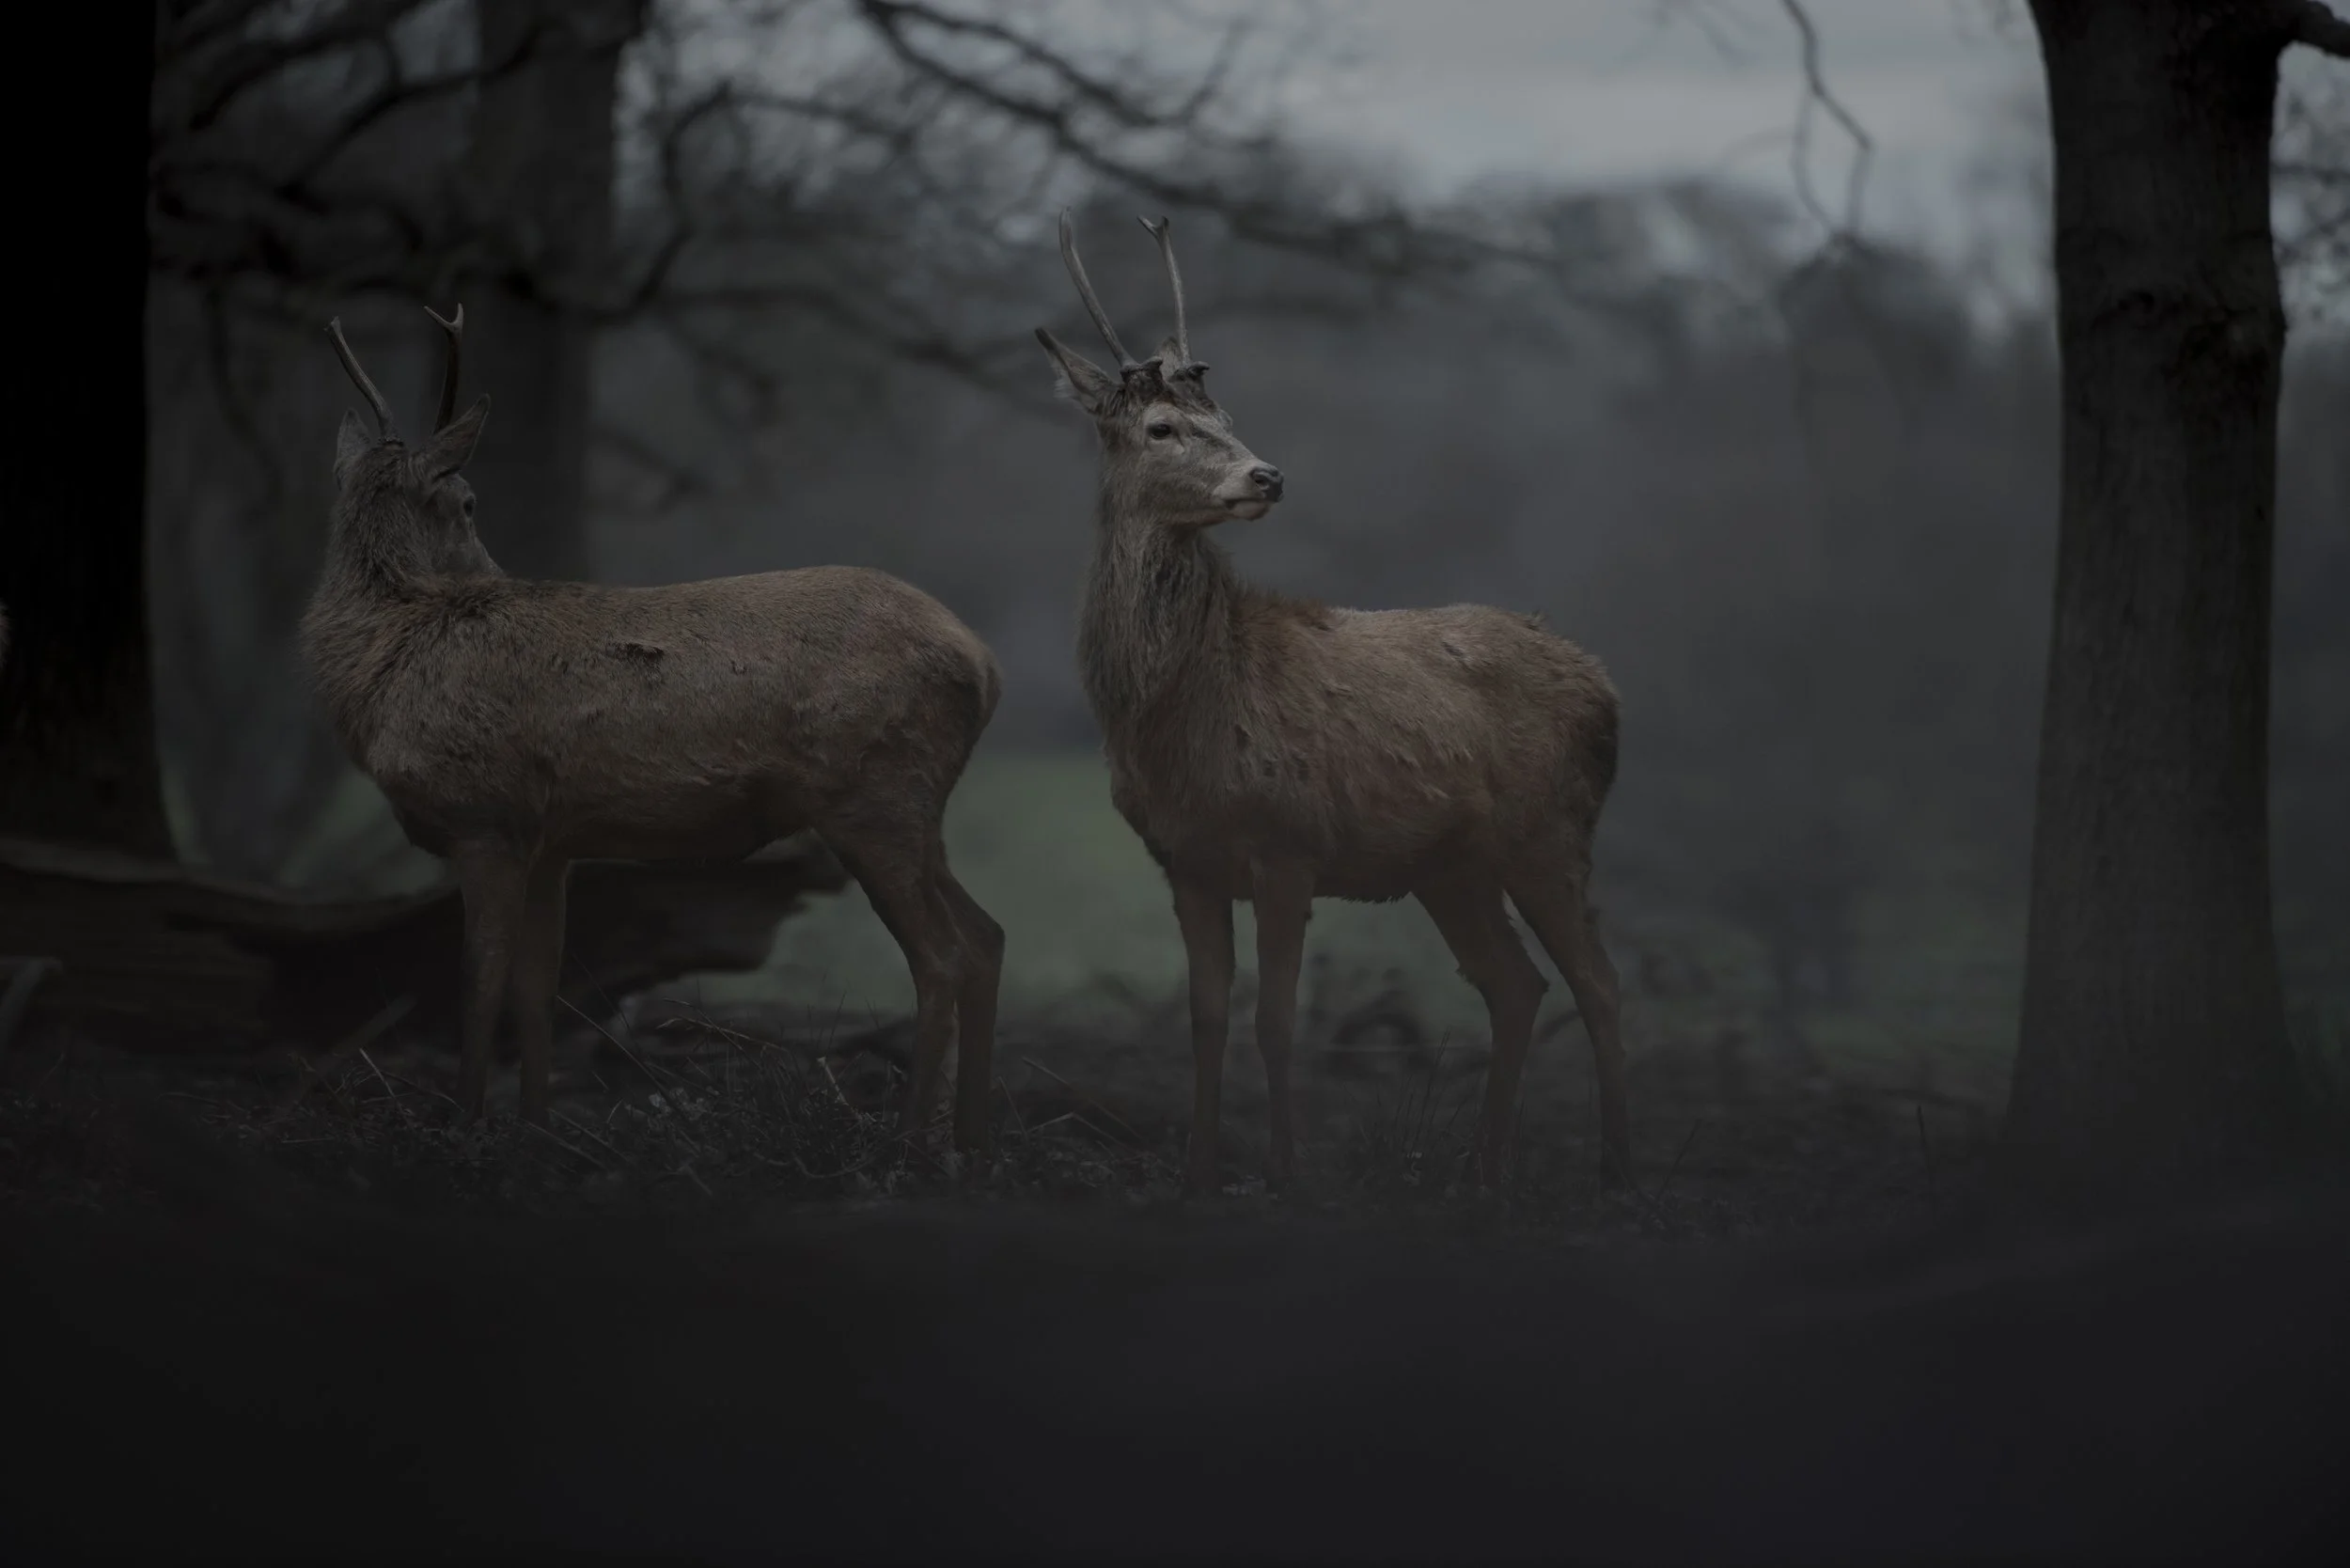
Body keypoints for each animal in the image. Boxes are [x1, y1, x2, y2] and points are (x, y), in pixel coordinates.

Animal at [304, 307, 1005, 1150]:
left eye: (467, 499)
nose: (494, 569)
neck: (388, 666)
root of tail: (984, 666)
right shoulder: (550, 840)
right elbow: (537, 986)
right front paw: (536, 1130)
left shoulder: (485, 818)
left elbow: (478, 980)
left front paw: (467, 1126)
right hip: (915, 808)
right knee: (987, 939)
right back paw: (970, 1140)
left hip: (874, 795)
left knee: (942, 958)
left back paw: (910, 1141)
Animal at [1035, 212, 1628, 1194]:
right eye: (1162, 426)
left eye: (1228, 420)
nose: (1266, 476)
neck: (1178, 712)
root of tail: (1607, 688)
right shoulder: (1185, 861)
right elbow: (1207, 1018)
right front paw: (1199, 1169)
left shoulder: (1289, 842)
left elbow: (1276, 1021)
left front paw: (1284, 1171)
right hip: (1449, 866)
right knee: (1517, 985)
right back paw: (1483, 1164)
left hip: (1550, 831)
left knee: (1599, 983)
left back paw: (1612, 1159)